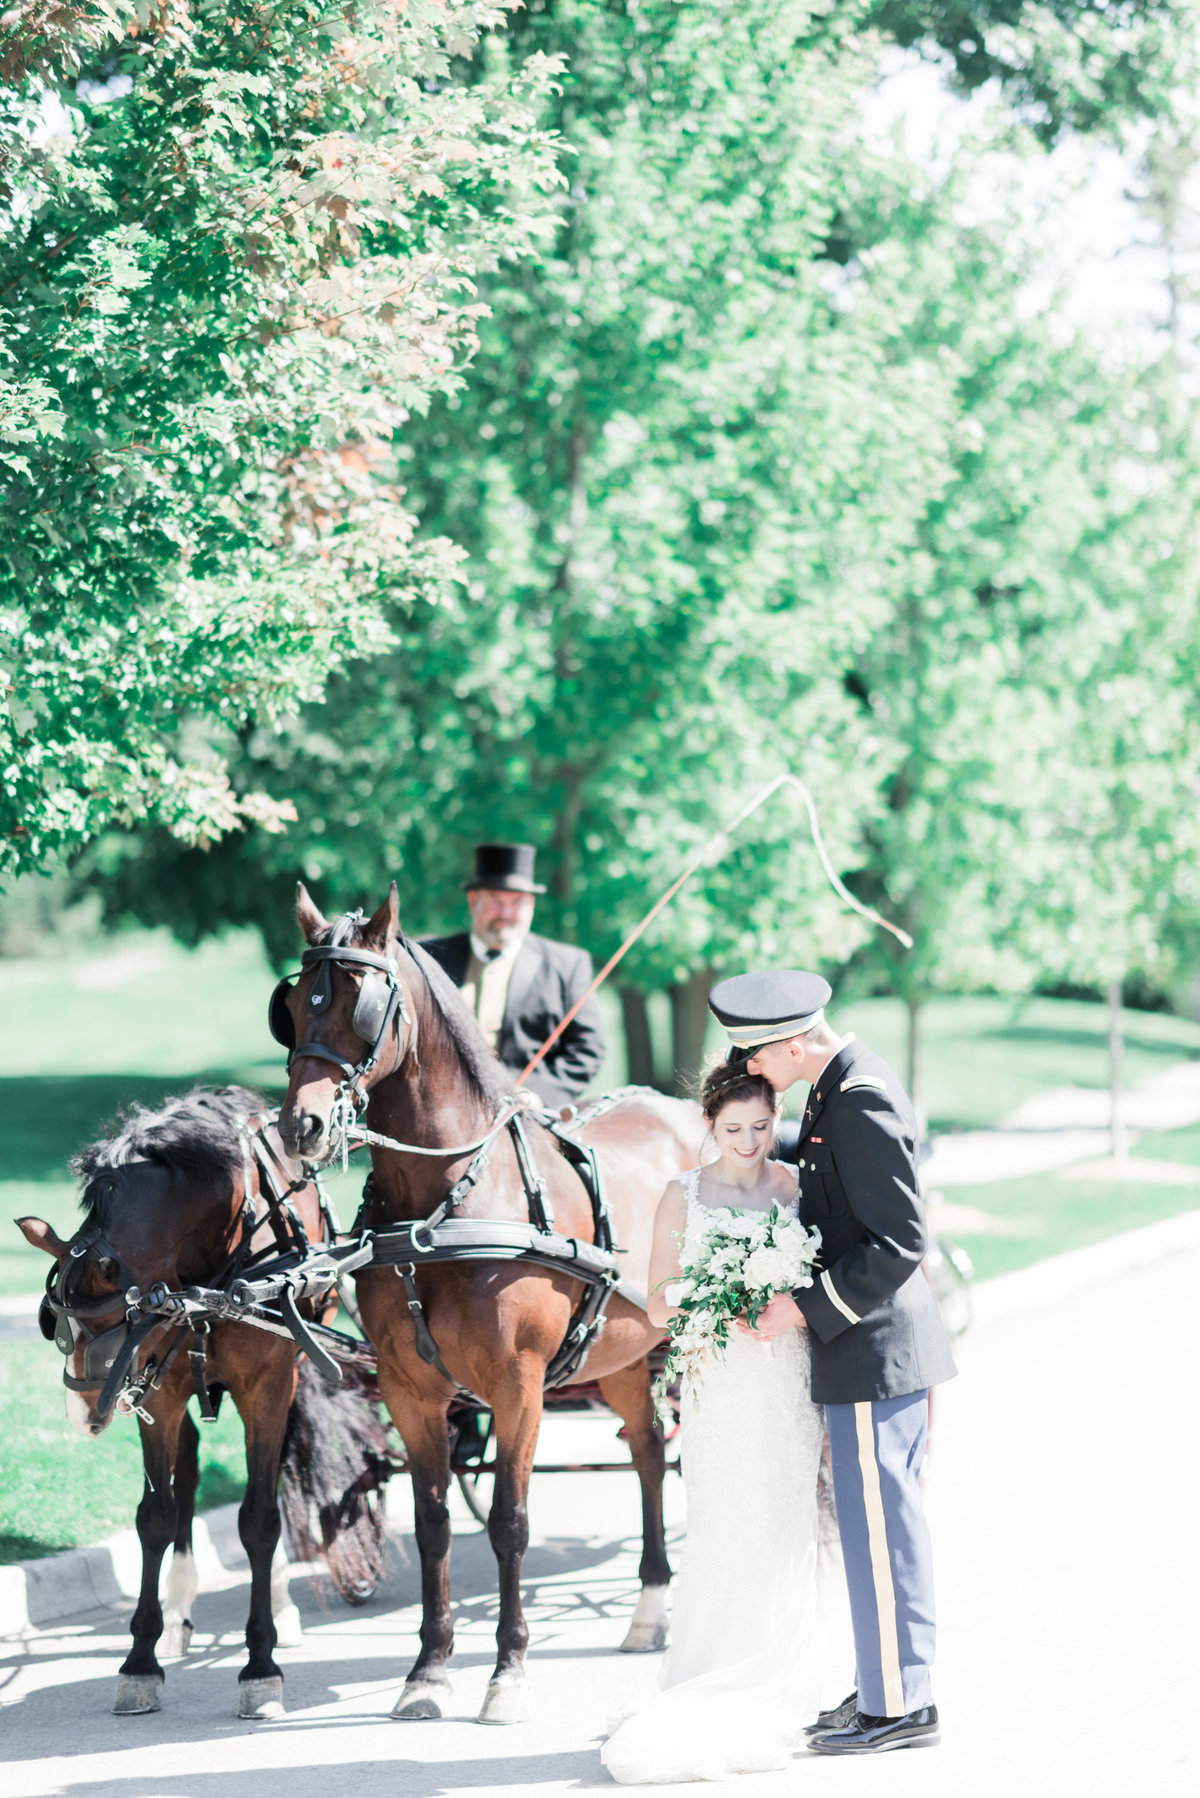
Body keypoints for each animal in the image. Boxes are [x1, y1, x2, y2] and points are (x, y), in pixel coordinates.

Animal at [16, 1085, 392, 1718]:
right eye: (54, 1326)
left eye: (108, 1331)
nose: (83, 1416)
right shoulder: (161, 1389)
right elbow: (155, 1516)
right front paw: (140, 1661)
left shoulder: (268, 1383)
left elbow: (260, 1519)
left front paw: (261, 1666)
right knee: (187, 1475)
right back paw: (178, 1613)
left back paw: (280, 1606)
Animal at [271, 884, 705, 1726]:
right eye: (294, 1005)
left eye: (364, 1003)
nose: (301, 1126)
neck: (443, 1209)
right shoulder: (411, 1390)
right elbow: (434, 1525)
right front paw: (429, 1671)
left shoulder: (517, 1385)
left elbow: (509, 1523)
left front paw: (507, 1670)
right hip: (623, 1354)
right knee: (644, 1451)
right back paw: (650, 1607)